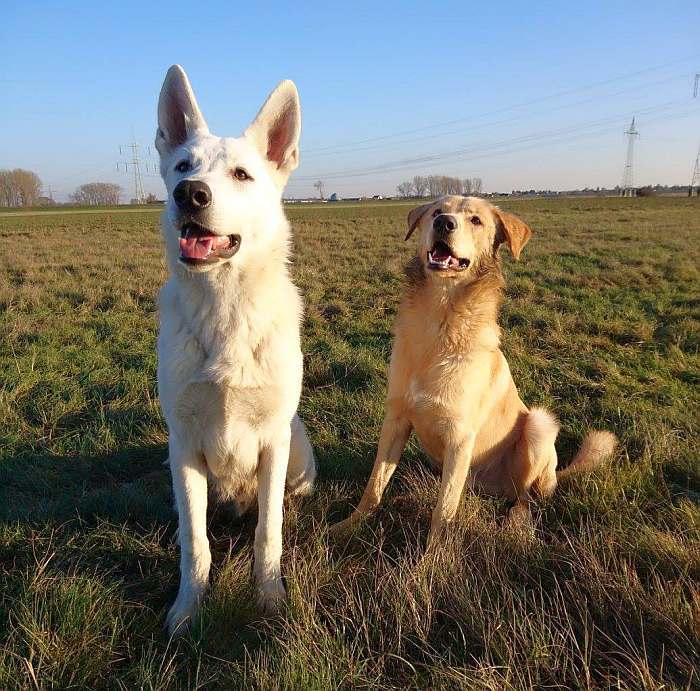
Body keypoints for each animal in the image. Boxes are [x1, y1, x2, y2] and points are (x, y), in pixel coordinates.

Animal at [157, 66, 318, 636]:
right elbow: (194, 541)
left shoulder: (272, 440)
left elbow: (269, 533)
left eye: (243, 175)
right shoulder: (183, 444)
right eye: (182, 166)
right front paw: (188, 608)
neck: (224, 307)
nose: (190, 194)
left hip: (297, 447)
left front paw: (268, 598)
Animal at [336, 196, 616, 548]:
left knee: (526, 496)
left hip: (538, 426)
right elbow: (375, 485)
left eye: (476, 220)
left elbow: (443, 511)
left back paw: (517, 521)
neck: (439, 319)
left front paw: (432, 558)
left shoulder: (459, 438)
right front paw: (347, 527)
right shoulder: (396, 420)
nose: (443, 223)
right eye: (436, 211)